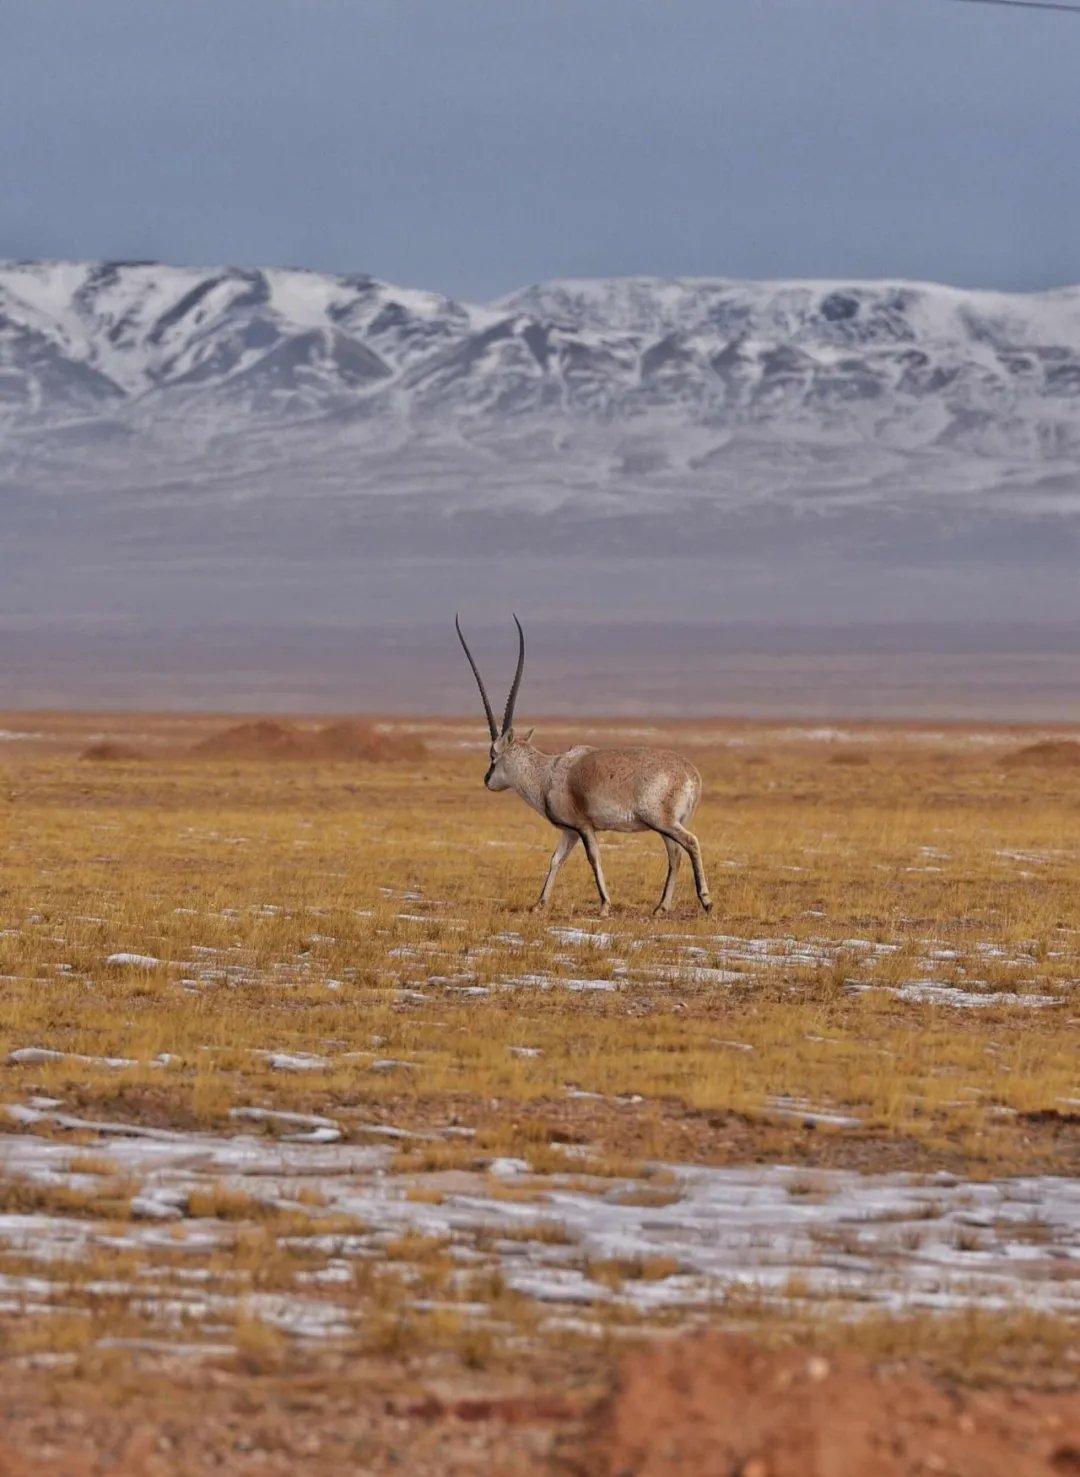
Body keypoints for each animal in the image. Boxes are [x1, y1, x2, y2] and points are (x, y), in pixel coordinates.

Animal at [455, 608, 715, 909]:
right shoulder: (569, 831)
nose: (487, 779)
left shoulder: (583, 826)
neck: (548, 773)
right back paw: (661, 907)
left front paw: (604, 904)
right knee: (675, 854)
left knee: (690, 843)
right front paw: (539, 904)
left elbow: (594, 858)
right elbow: (556, 859)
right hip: (666, 826)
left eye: (493, 754)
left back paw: (705, 900)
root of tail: (691, 774)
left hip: (663, 821)